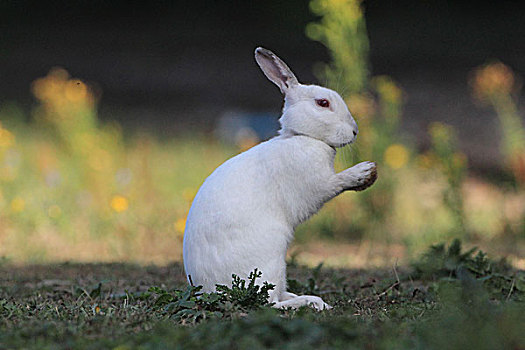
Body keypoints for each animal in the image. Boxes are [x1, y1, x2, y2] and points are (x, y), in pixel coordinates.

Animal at [182, 47, 374, 312]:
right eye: (323, 103)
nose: (355, 131)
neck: (301, 137)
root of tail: (208, 291)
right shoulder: (317, 185)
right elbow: (336, 183)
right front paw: (364, 171)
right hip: (271, 262)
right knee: (270, 303)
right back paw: (314, 302)